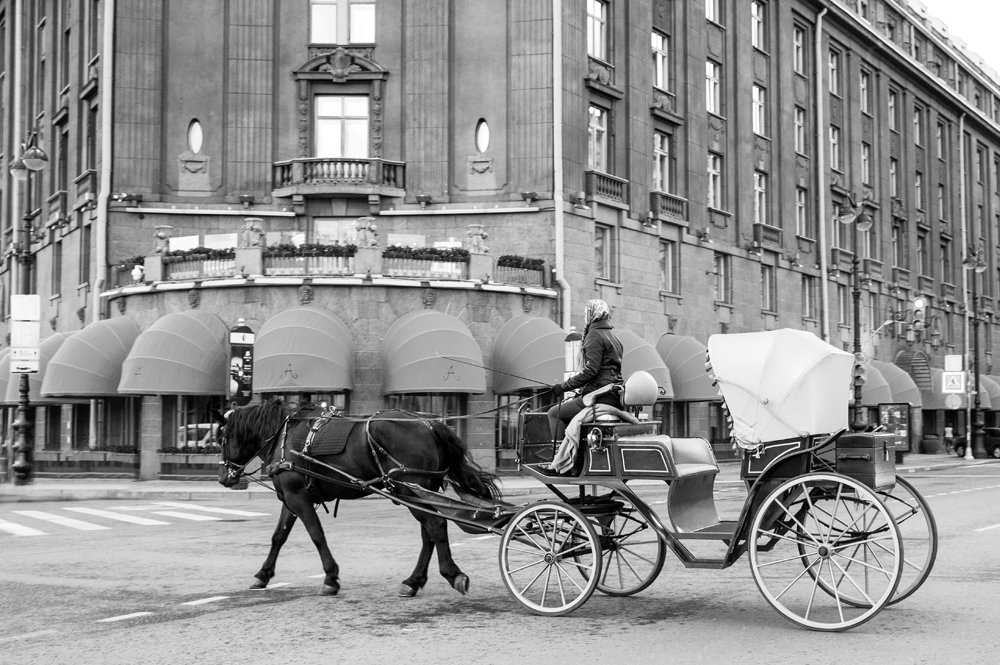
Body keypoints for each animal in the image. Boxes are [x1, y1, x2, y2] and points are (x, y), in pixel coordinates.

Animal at [219, 400, 500, 596]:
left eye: (223, 437)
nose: (223, 477)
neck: (284, 437)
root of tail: (430, 424)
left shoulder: (297, 496)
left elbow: (316, 535)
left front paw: (331, 578)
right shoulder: (291, 497)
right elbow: (279, 536)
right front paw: (263, 574)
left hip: (409, 489)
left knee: (436, 526)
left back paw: (452, 574)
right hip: (418, 491)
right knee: (429, 533)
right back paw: (413, 581)